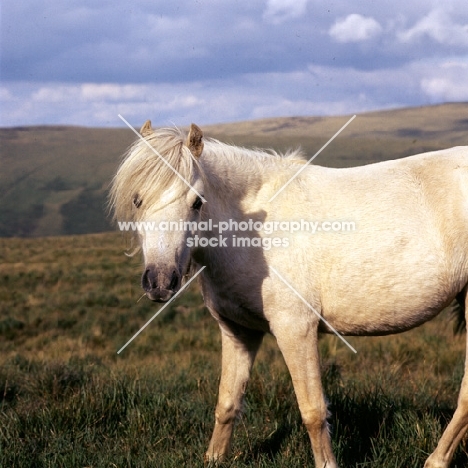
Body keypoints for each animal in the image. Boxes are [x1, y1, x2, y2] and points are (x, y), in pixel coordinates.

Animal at [109, 121, 468, 468]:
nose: (160, 281)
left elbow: (312, 410)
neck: (251, 232)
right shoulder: (239, 331)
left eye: (197, 202)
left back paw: (436, 461)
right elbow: (227, 402)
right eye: (137, 200)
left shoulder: (296, 328)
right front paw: (213, 458)